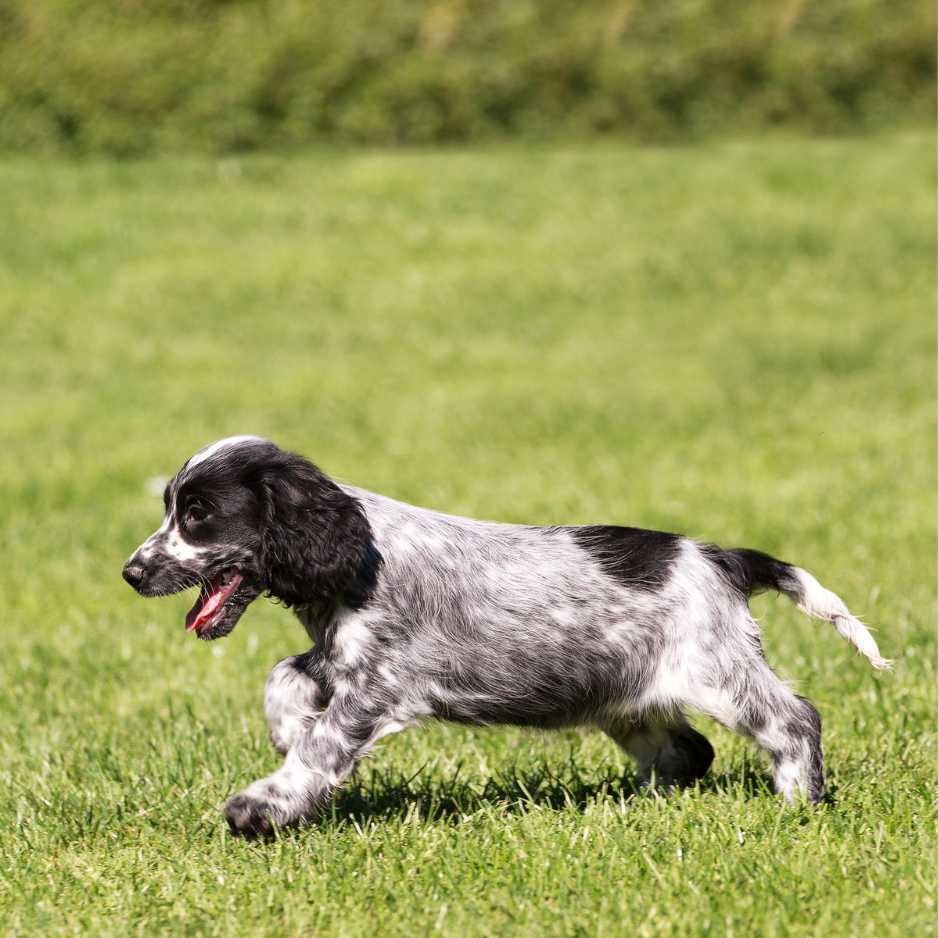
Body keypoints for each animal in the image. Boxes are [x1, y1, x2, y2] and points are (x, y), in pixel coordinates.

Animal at [120, 434, 888, 832]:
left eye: (198, 514)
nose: (131, 573)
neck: (358, 553)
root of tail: (719, 558)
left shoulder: (377, 686)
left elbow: (321, 747)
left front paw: (263, 803)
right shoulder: (339, 658)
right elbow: (283, 676)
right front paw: (284, 731)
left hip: (719, 671)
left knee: (794, 719)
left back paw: (799, 801)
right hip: (625, 695)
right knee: (688, 750)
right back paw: (635, 806)